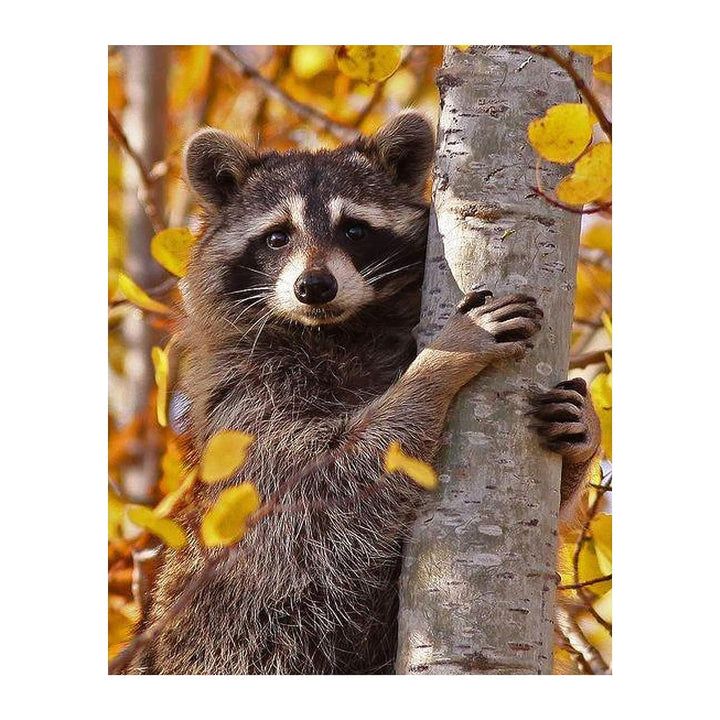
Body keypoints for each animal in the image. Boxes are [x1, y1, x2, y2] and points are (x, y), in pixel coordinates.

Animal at [132, 111, 600, 674]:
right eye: (277, 237)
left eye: (354, 230)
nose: (315, 286)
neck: (337, 331)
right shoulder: (246, 408)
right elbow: (326, 480)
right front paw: (440, 361)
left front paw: (584, 439)